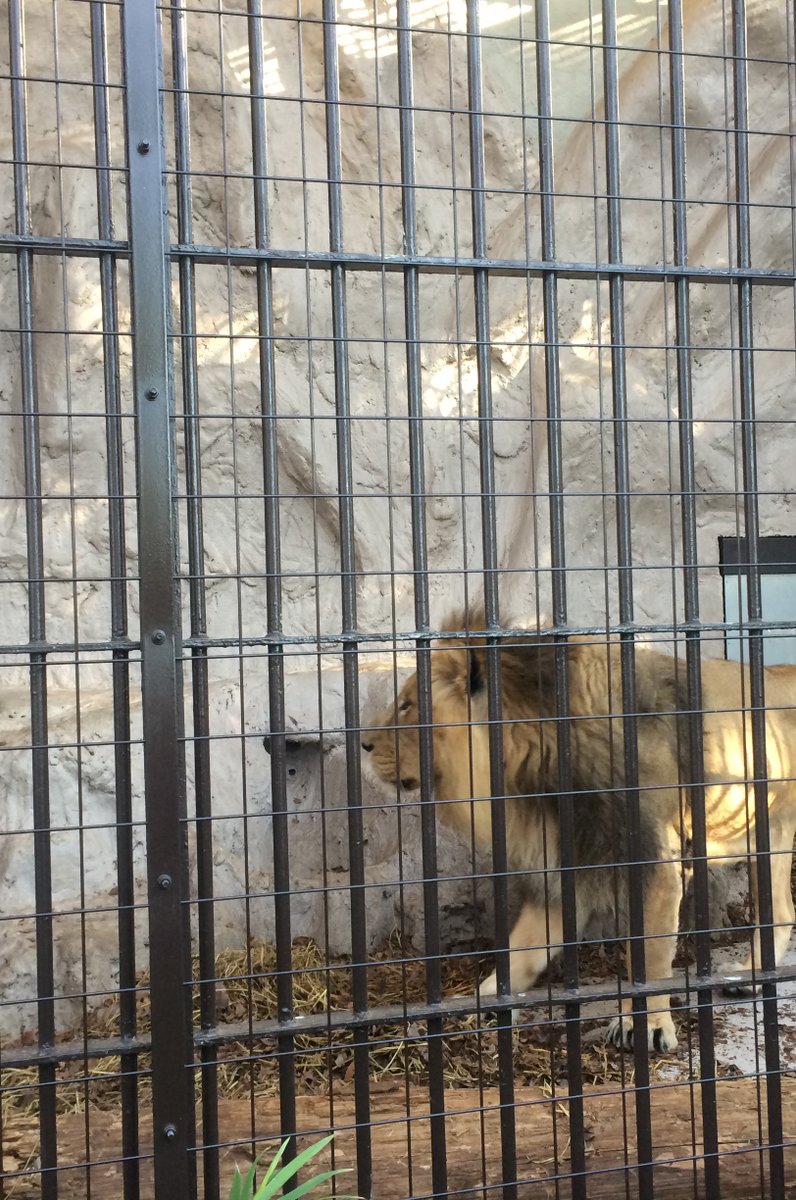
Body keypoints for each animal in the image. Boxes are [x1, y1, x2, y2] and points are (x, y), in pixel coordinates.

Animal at [364, 619, 796, 1051]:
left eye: (407, 705)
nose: (364, 743)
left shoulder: (653, 863)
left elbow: (651, 952)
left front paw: (646, 1024)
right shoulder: (570, 861)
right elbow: (524, 948)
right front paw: (486, 1002)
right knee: (781, 911)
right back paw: (751, 977)